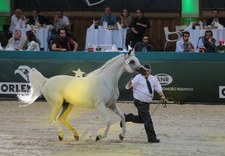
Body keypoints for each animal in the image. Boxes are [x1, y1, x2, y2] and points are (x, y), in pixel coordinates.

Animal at [17, 49, 146, 141]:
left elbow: (123, 116)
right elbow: (109, 121)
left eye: (137, 59)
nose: (144, 70)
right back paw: (61, 135)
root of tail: (46, 81)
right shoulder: (100, 105)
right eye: (132, 61)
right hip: (57, 104)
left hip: (67, 104)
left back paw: (76, 135)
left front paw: (121, 135)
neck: (106, 81)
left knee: (62, 118)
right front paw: (99, 137)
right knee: (52, 118)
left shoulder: (111, 104)